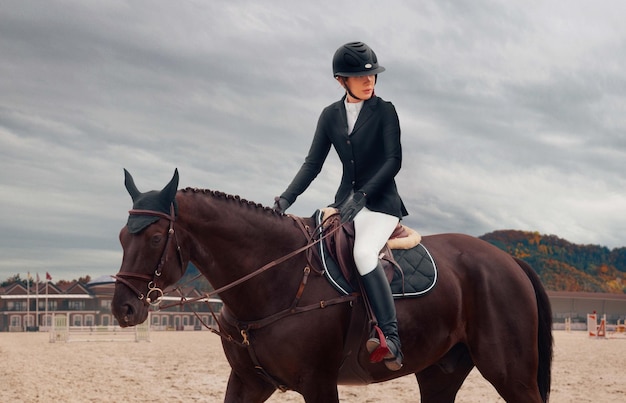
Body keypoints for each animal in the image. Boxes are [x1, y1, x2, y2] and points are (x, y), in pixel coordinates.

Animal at [112, 169, 552, 402]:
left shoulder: (318, 383)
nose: (123, 308)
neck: (275, 279)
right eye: (120, 237)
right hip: (440, 372)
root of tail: (509, 261)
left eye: (155, 237)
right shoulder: (247, 381)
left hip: (510, 373)